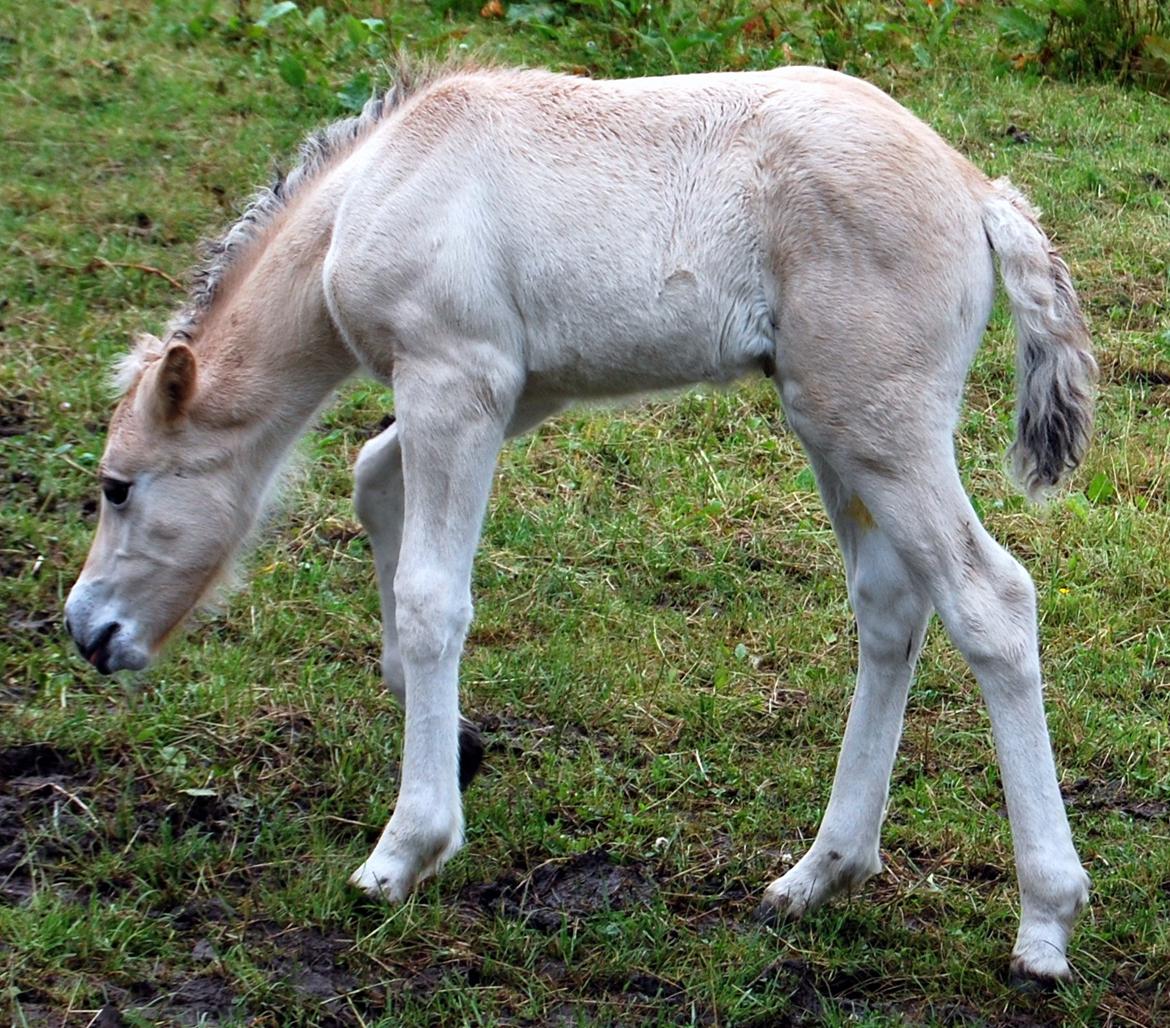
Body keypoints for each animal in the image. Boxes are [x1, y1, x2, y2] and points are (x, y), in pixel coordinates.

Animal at [64, 62, 1090, 982]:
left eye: (117, 487)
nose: (87, 631)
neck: (379, 187)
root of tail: (976, 190)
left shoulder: (455, 378)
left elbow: (434, 596)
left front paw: (406, 849)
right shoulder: (515, 392)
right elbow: (372, 479)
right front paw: (453, 735)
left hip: (879, 425)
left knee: (991, 602)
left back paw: (1044, 925)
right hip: (831, 423)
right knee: (890, 607)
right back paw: (820, 873)